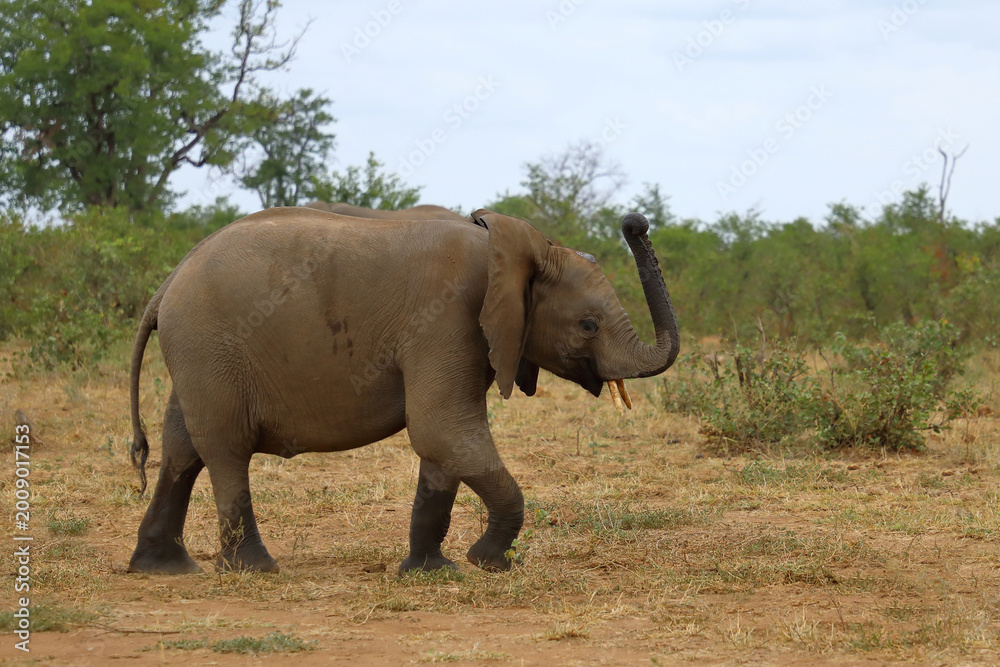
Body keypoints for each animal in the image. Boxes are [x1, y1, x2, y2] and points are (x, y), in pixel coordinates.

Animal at [126, 206, 679, 576]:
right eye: (588, 325)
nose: (636, 222)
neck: (512, 248)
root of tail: (166, 284)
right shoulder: (447, 318)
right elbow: (442, 430)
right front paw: (486, 562)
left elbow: (445, 449)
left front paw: (431, 571)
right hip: (209, 347)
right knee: (225, 450)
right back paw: (254, 569)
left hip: (197, 357)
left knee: (182, 449)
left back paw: (162, 567)